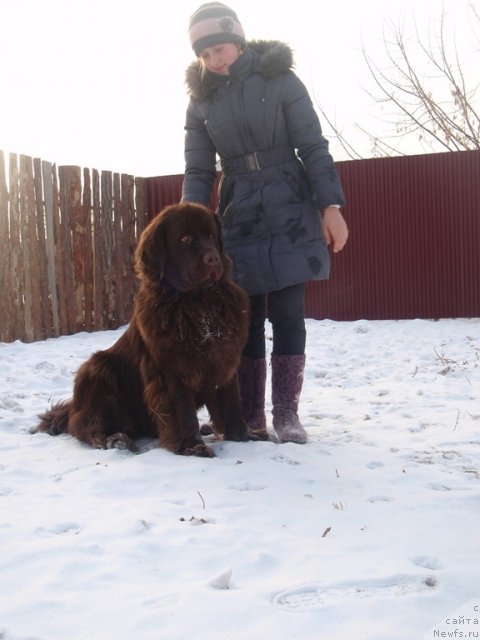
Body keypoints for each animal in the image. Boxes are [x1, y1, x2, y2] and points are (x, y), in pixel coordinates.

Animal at [33, 202, 251, 458]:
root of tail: (73, 408)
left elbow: (231, 403)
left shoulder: (223, 363)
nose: (213, 259)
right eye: (185, 239)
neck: (197, 304)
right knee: (86, 425)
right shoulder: (169, 372)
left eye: (211, 236)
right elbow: (182, 412)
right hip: (97, 370)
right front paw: (192, 447)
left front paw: (243, 437)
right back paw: (115, 440)